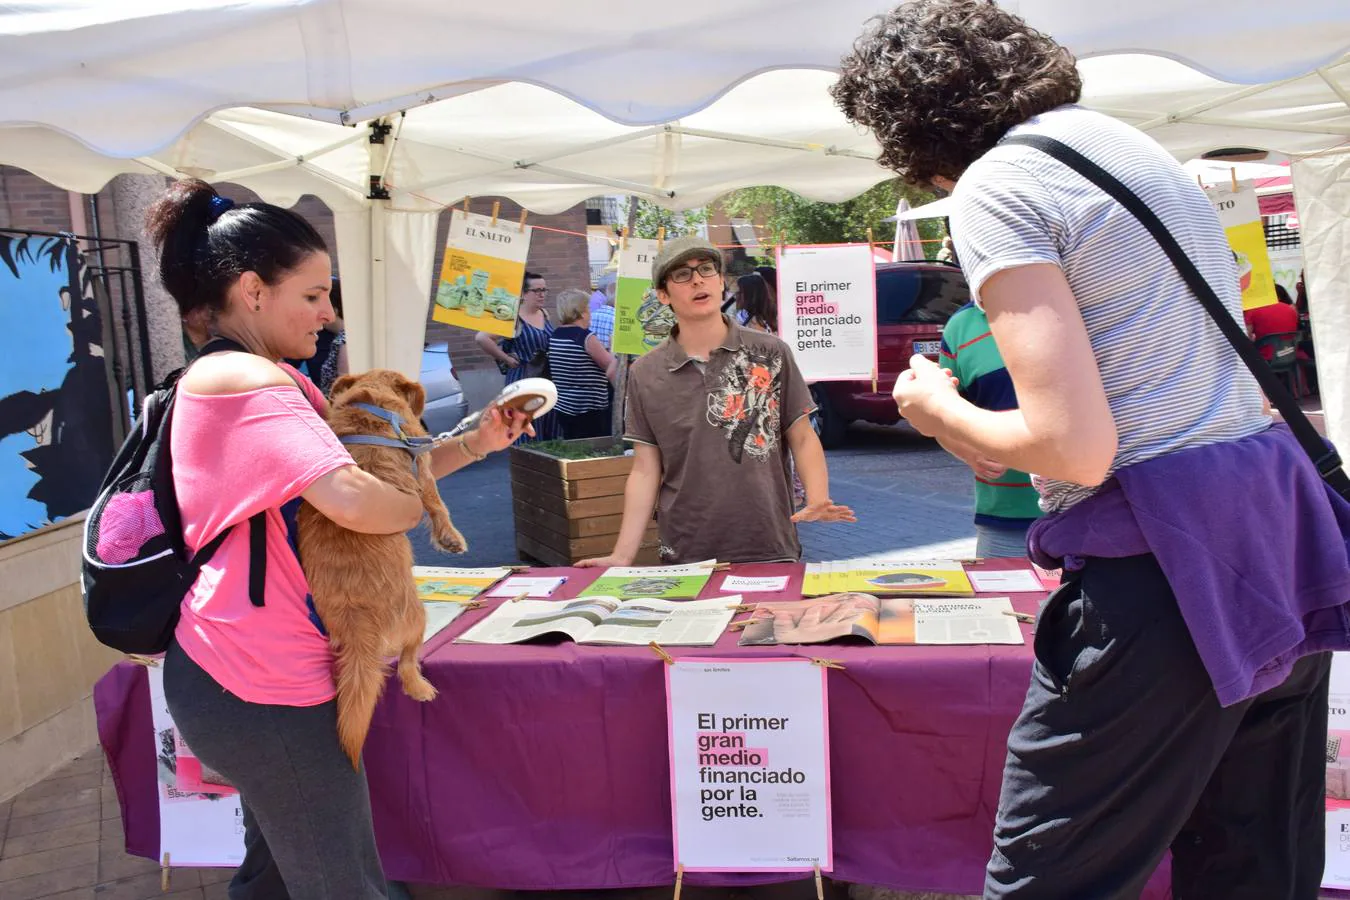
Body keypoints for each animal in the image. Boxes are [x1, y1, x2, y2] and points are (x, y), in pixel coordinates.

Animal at [294, 369, 464, 771]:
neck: (369, 404)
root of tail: (360, 626)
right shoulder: (423, 470)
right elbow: (437, 504)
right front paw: (451, 538)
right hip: (418, 615)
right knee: (406, 662)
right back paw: (421, 688)